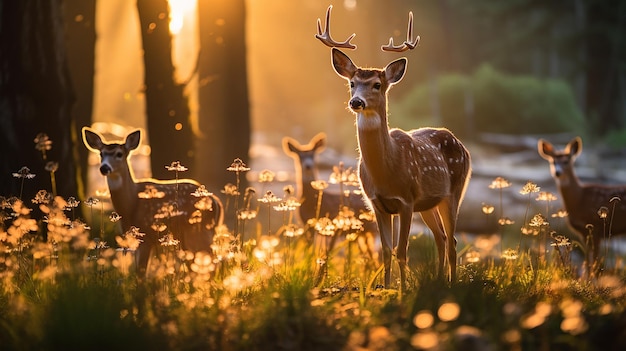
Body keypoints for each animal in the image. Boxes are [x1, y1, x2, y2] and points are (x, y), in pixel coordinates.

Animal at [80, 128, 222, 276]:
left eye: (119, 154)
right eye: (101, 153)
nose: (104, 167)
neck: (131, 204)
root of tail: (216, 201)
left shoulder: (147, 235)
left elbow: (141, 273)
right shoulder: (135, 239)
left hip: (199, 231)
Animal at [314, 5, 470, 290]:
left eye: (377, 84)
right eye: (352, 83)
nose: (356, 102)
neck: (386, 171)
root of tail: (461, 144)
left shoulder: (406, 200)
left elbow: (402, 250)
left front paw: (403, 289)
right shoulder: (377, 203)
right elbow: (386, 250)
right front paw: (387, 287)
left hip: (454, 191)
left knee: (452, 239)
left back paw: (452, 284)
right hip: (429, 203)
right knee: (442, 238)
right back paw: (439, 281)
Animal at [536, 136, 624, 268]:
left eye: (566, 161)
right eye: (553, 162)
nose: (557, 172)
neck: (579, 199)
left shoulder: (596, 228)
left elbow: (595, 262)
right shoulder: (583, 232)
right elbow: (587, 261)